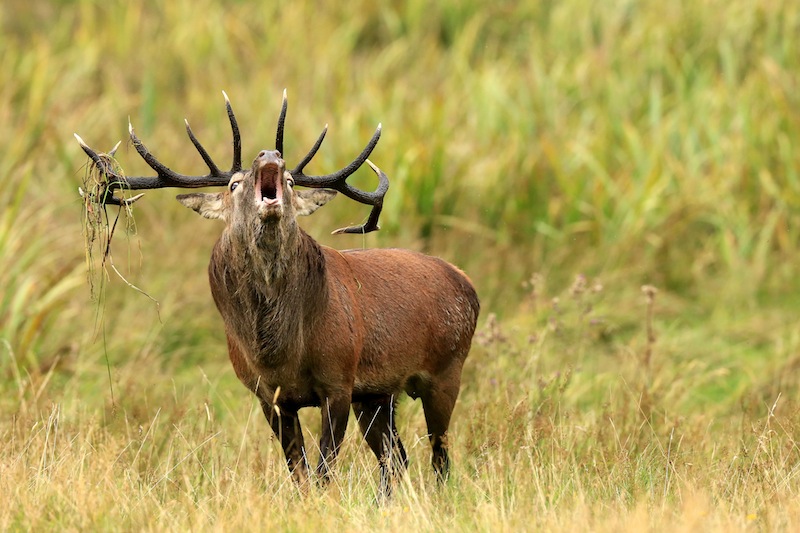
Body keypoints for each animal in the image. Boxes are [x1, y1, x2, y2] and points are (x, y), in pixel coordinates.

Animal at [75, 92, 480, 497]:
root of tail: (466, 281)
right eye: (233, 185)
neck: (279, 353)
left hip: (447, 369)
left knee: (439, 457)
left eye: (289, 180)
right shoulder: (267, 393)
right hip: (379, 394)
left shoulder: (339, 379)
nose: (269, 153)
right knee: (396, 459)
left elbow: (323, 470)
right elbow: (297, 471)